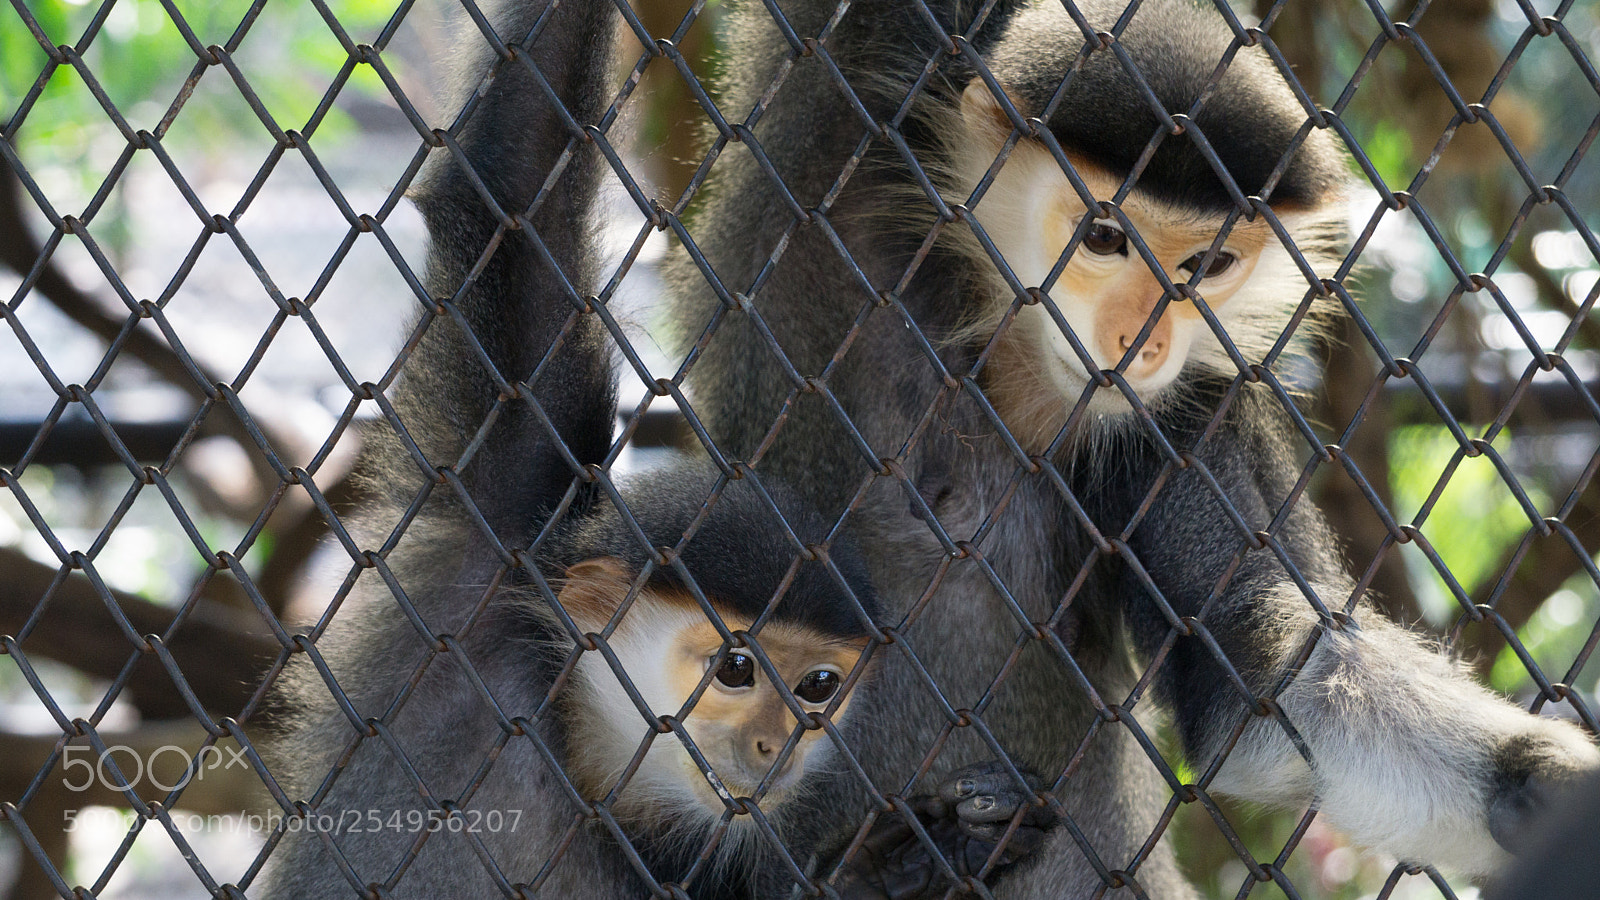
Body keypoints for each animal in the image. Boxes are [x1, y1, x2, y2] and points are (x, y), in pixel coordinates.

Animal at [251, 0, 1060, 895]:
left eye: (818, 686)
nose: (777, 745)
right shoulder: (500, 538)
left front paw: (914, 856)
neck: (572, 739)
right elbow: (518, 184)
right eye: (735, 669)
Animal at [661, 0, 1600, 893]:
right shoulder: (837, 161)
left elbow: (1265, 689)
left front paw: (1545, 787)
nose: (1144, 341)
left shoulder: (1188, 418)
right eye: (1105, 238)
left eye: (1207, 267)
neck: (1010, 366)